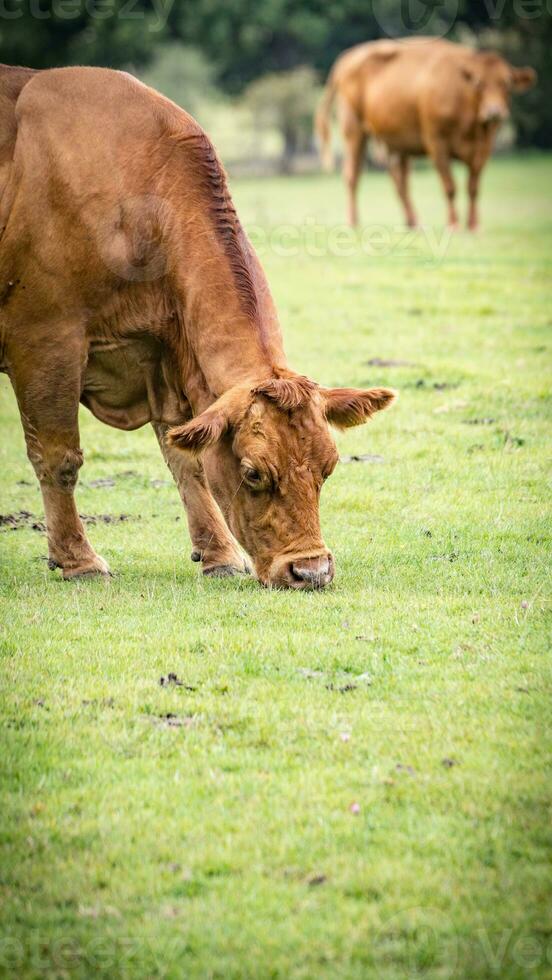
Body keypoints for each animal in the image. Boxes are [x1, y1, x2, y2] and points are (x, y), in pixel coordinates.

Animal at [316, 38, 536, 230]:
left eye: (507, 83)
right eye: (478, 83)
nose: (494, 112)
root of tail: (346, 59)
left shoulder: (484, 148)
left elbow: (473, 187)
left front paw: (474, 225)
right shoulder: (437, 144)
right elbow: (450, 186)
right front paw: (453, 225)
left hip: (397, 143)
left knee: (400, 181)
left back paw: (414, 223)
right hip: (354, 130)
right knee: (352, 175)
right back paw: (353, 222)